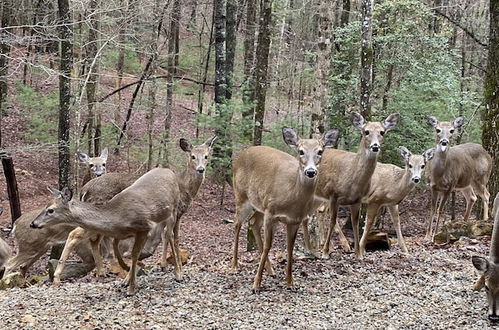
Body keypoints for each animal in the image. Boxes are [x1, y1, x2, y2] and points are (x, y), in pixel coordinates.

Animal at [28, 135, 214, 296]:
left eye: (206, 156)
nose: (201, 169)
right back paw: (62, 275)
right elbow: (172, 238)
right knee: (79, 235)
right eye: (192, 156)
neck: (186, 188)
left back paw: (100, 271)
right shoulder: (177, 212)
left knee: (90, 238)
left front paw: (161, 266)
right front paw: (176, 271)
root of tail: (85, 188)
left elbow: (162, 237)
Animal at [232, 126, 338, 292]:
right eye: (301, 151)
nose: (310, 171)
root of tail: (242, 155)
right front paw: (256, 284)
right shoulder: (271, 213)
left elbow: (290, 247)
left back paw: (271, 270)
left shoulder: (294, 220)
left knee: (253, 223)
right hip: (241, 196)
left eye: (320, 151)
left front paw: (290, 282)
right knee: (237, 224)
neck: (291, 196)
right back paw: (234, 266)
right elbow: (268, 246)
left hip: (260, 205)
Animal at [312, 111, 402, 258]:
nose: (375, 146)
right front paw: (325, 252)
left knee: (319, 210)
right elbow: (332, 220)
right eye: (366, 131)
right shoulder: (334, 195)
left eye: (382, 132)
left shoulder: (357, 200)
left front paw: (358, 253)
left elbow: (355, 223)